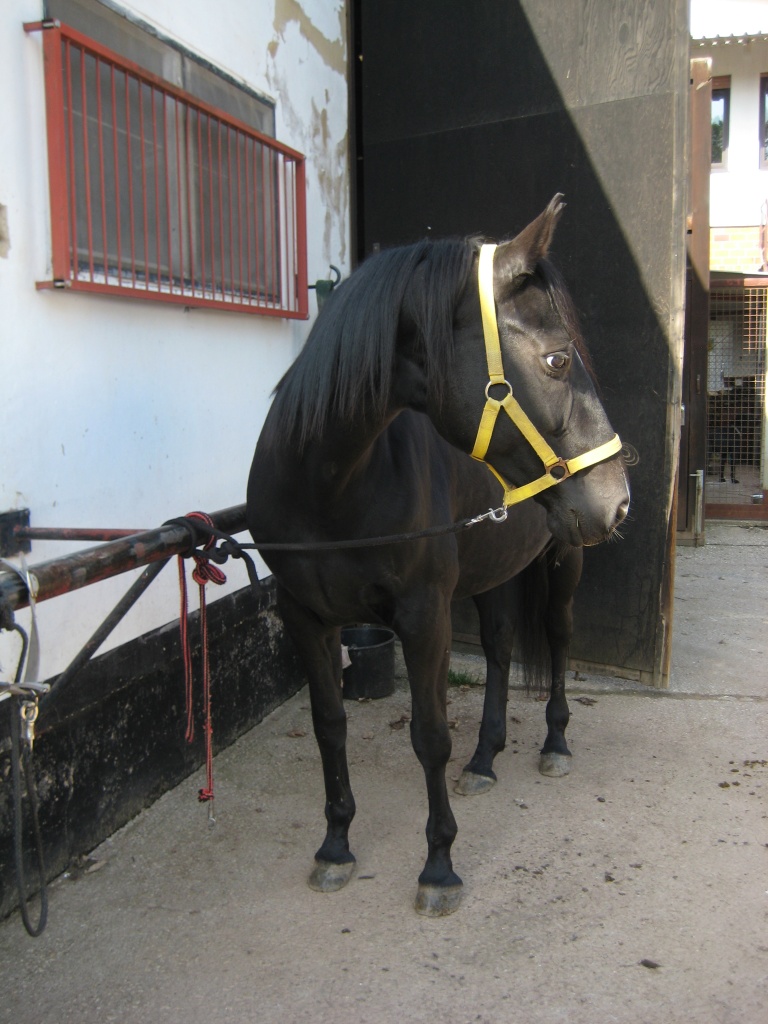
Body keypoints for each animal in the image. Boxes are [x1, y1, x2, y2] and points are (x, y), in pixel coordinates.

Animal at [246, 195, 630, 916]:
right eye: (557, 361)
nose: (618, 500)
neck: (330, 488)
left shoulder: (425, 618)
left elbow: (429, 735)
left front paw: (439, 866)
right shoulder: (306, 617)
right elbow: (329, 724)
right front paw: (335, 847)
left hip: (564, 562)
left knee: (557, 640)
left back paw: (555, 742)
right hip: (493, 570)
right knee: (503, 647)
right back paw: (484, 760)